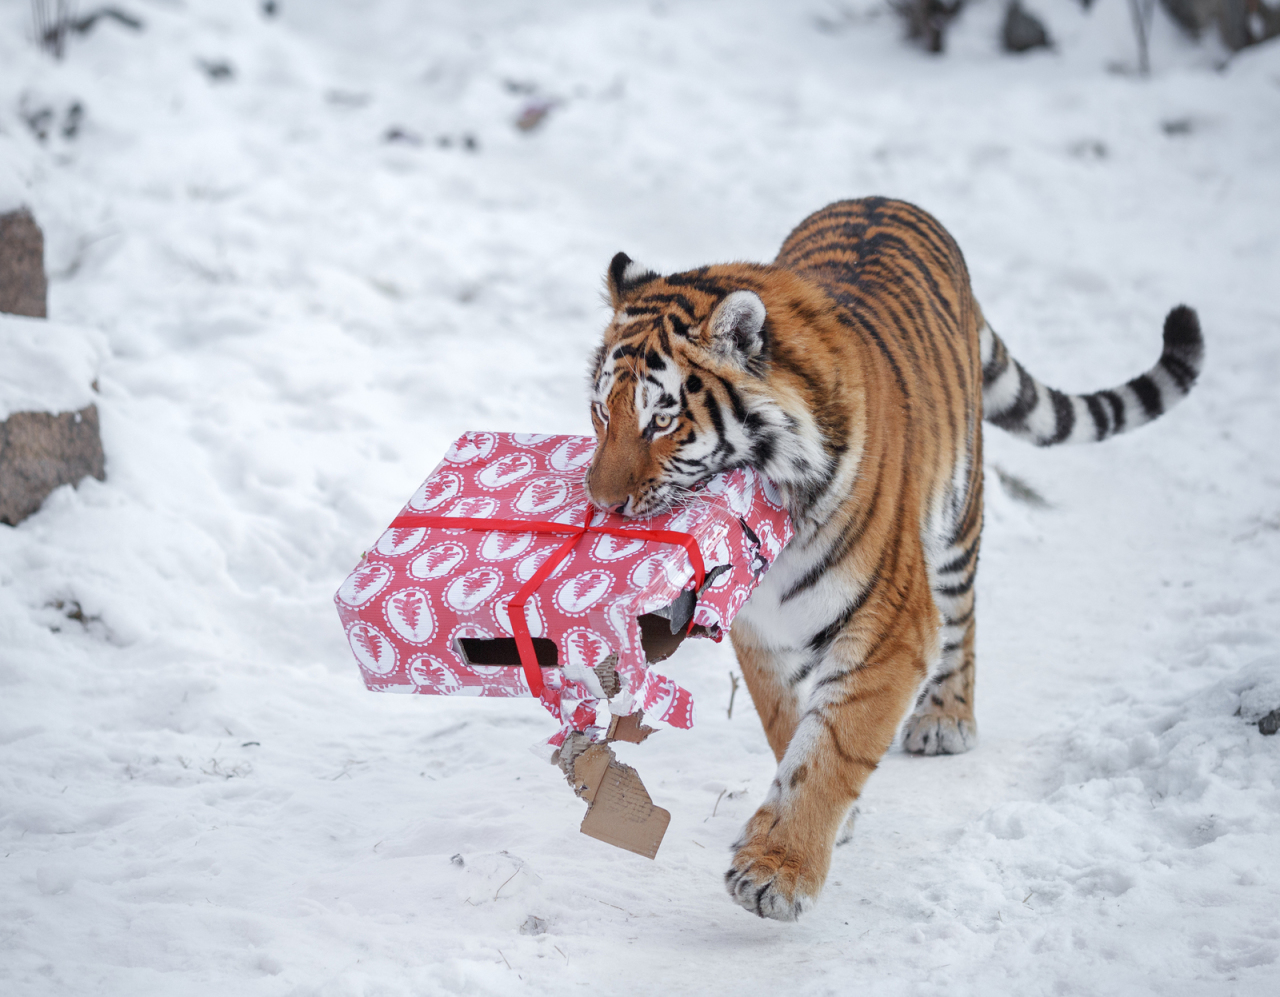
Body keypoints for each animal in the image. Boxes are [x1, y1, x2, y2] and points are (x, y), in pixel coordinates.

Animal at [581, 198, 1198, 926]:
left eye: (661, 422)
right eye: (601, 412)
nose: (600, 502)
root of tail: (889, 200)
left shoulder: (893, 627)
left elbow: (833, 745)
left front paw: (776, 870)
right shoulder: (760, 626)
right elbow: (787, 721)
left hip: (958, 523)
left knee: (964, 619)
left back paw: (946, 719)